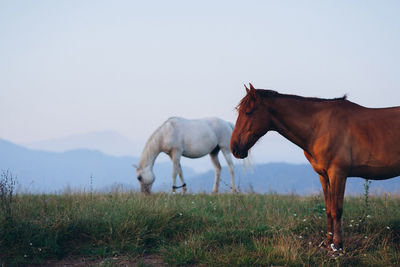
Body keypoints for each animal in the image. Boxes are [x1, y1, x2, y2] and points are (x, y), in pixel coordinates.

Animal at [230, 82, 400, 252]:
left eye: (248, 112)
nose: (234, 148)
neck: (320, 127)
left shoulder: (337, 174)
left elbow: (337, 210)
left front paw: (337, 244)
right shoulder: (324, 175)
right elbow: (329, 209)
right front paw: (328, 241)